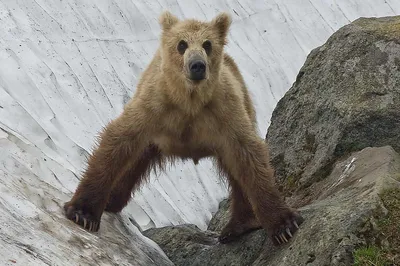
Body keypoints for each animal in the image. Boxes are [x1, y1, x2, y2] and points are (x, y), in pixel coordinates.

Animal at [64, 10, 304, 244]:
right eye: (182, 44)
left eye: (207, 44)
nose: (197, 65)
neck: (189, 101)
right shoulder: (155, 105)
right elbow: (119, 140)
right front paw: (82, 212)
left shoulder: (224, 110)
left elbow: (248, 155)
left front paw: (284, 225)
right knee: (134, 162)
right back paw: (112, 200)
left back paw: (236, 226)